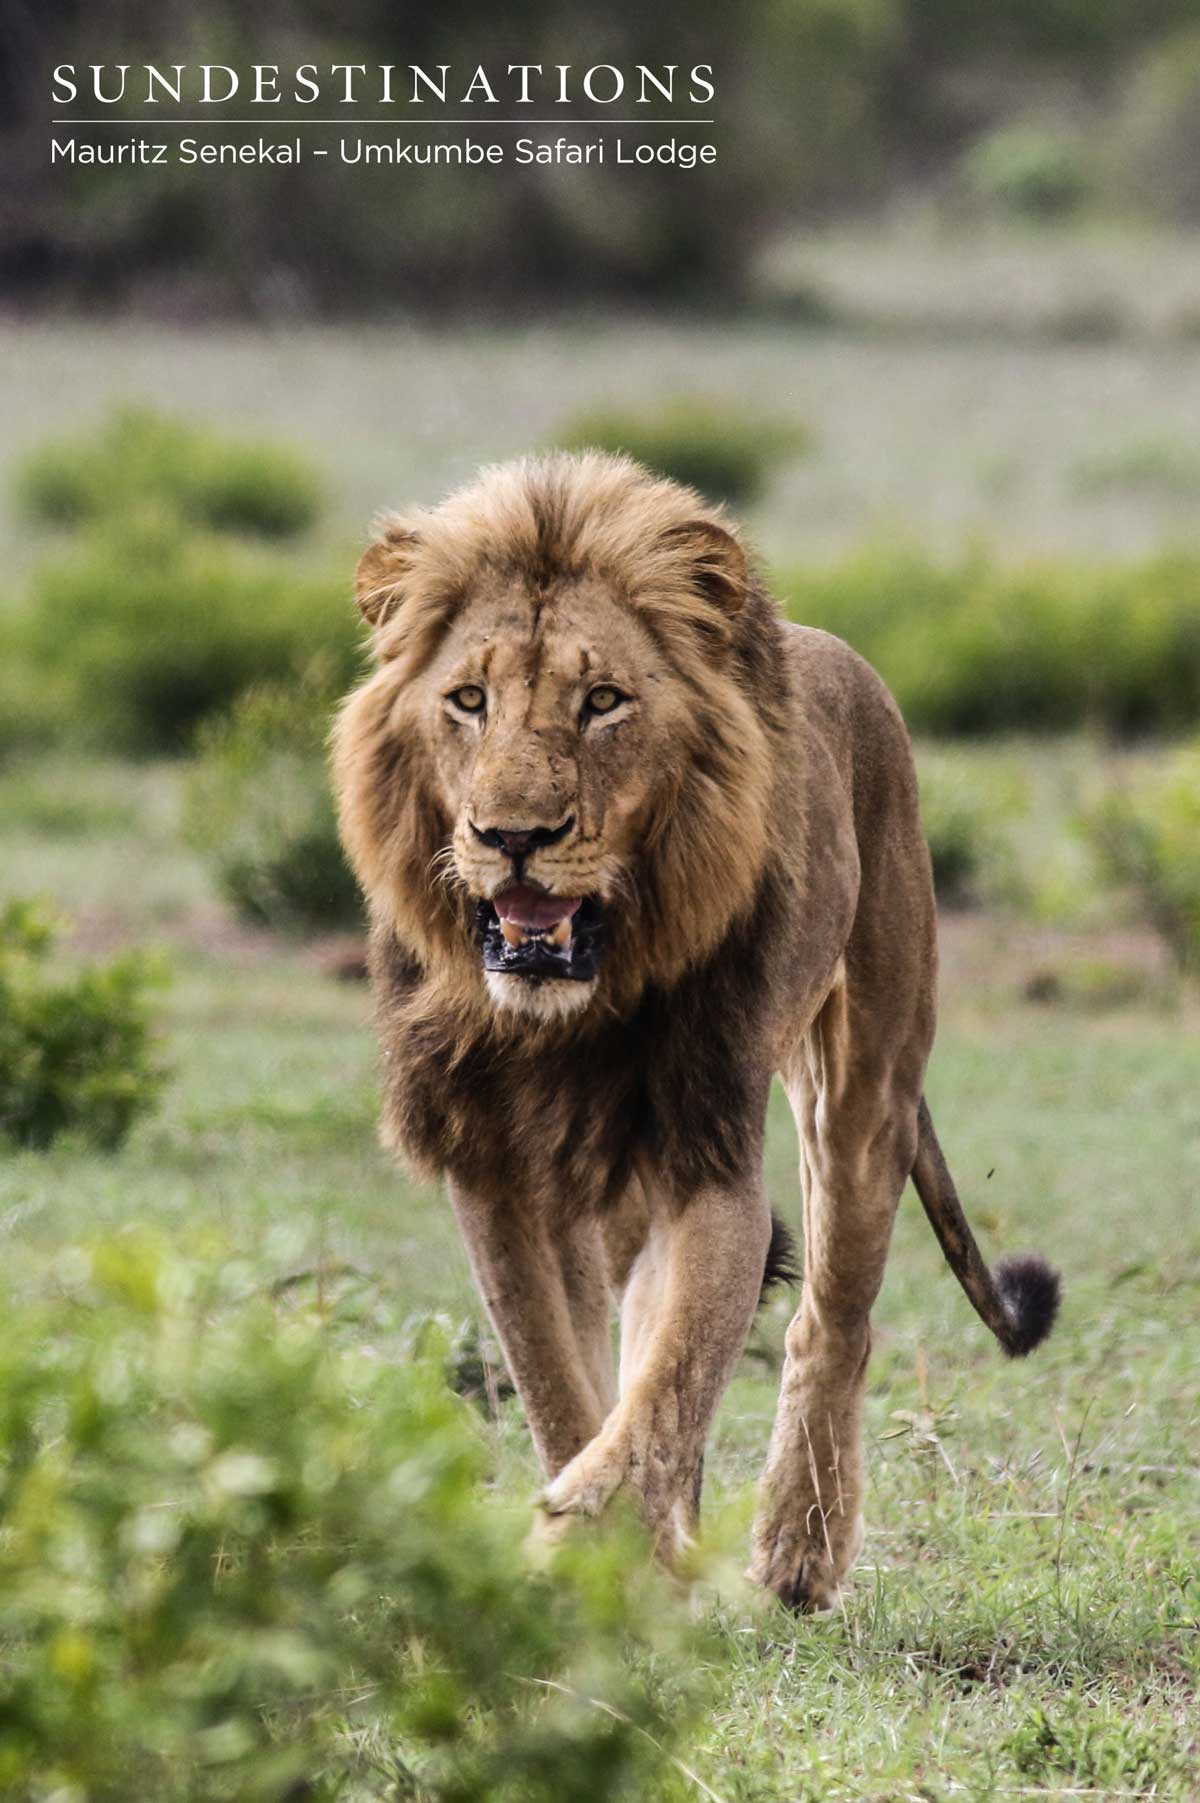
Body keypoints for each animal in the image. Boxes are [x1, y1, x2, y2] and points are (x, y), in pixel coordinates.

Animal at [333, 452, 1060, 1609]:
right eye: (468, 701)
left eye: (602, 702)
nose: (513, 837)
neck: (568, 1016)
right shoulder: (493, 1172)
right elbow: (562, 1382)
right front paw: (604, 1549)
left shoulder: (706, 1158)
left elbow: (667, 1381)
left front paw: (591, 1537)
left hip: (863, 1083)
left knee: (831, 1321)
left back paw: (796, 1556)